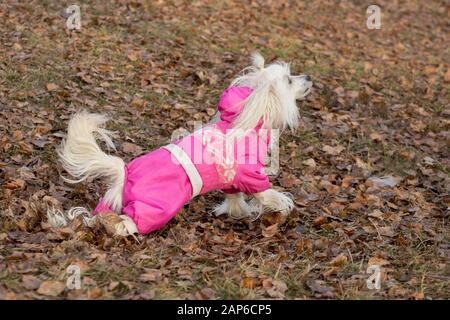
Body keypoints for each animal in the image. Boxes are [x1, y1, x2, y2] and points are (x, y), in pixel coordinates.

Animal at [53, 52, 312, 236]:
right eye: (289, 80)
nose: (309, 77)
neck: (248, 115)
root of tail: (125, 172)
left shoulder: (232, 179)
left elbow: (234, 198)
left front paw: (238, 212)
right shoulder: (251, 174)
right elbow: (266, 194)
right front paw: (283, 205)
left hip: (111, 200)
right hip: (155, 207)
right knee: (125, 223)